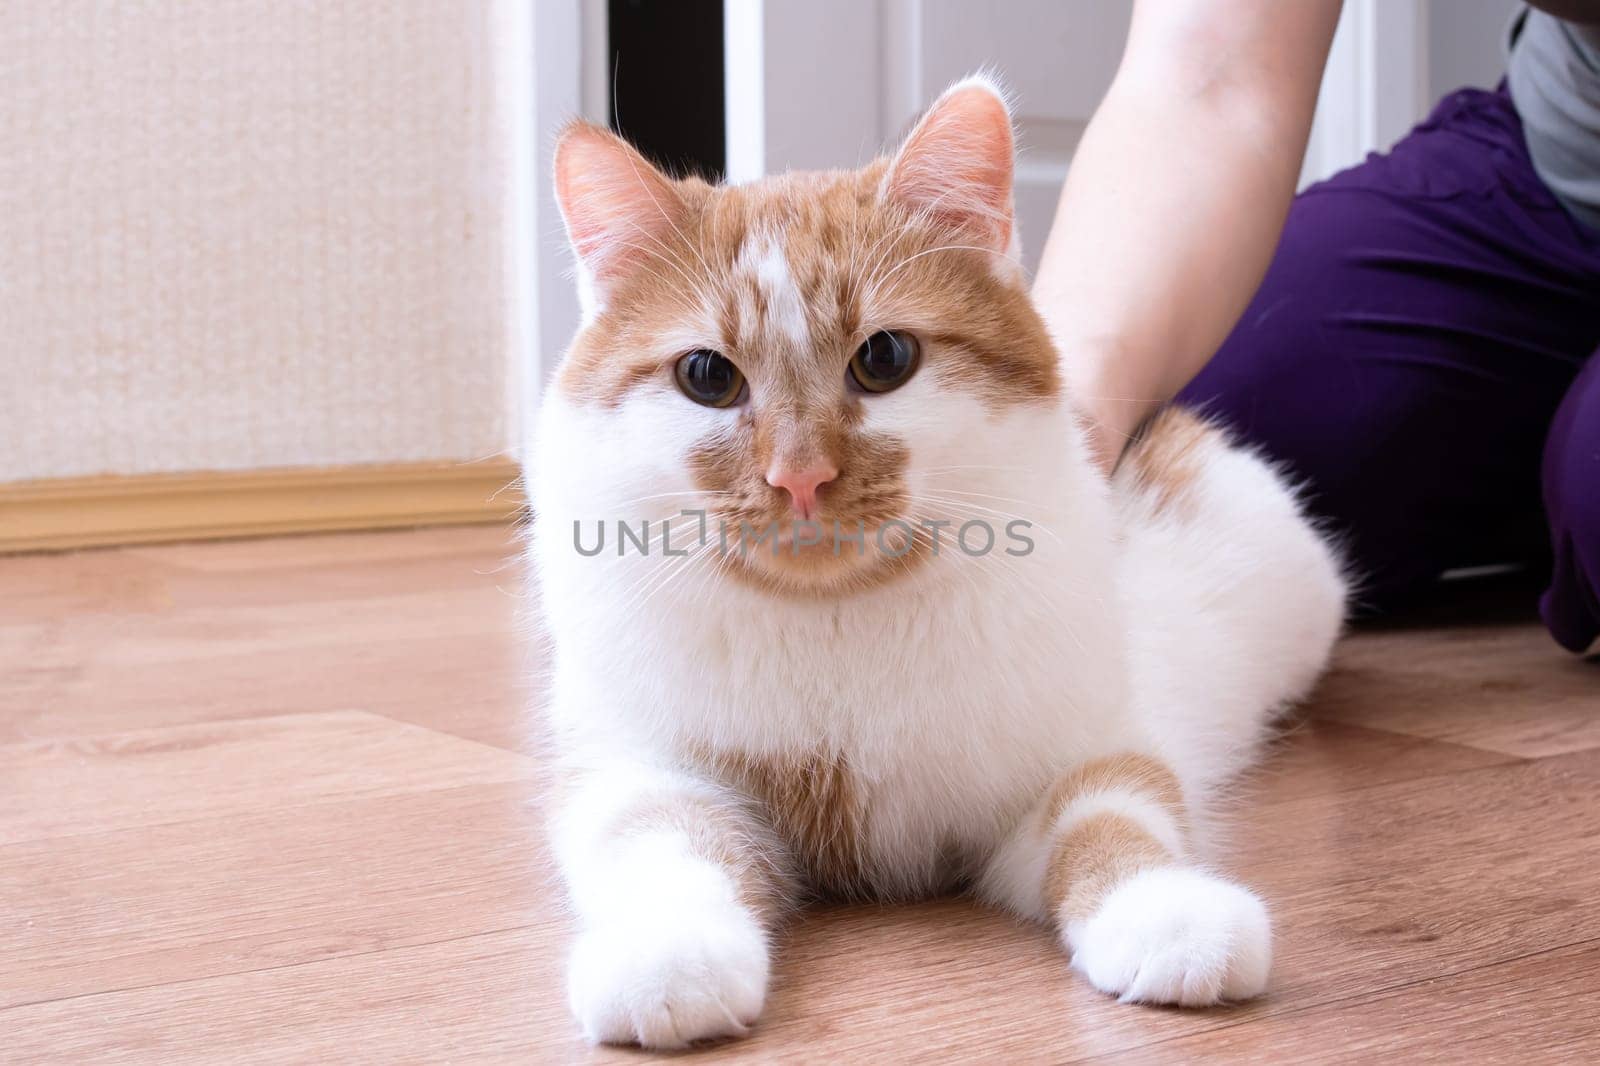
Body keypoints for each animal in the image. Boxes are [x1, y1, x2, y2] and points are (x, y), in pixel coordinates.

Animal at [531, 76, 1344, 1043]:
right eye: (706, 376)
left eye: (885, 358)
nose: (800, 477)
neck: (834, 628)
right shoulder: (637, 770)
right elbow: (666, 846)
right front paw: (667, 951)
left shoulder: (1086, 752)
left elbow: (1116, 822)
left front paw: (1170, 913)